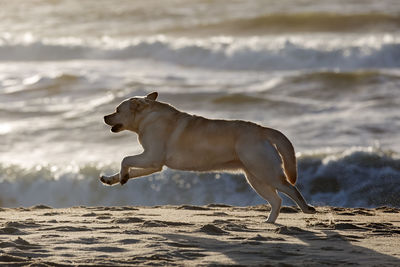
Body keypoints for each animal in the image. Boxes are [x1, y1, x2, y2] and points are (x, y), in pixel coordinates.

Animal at [100, 92, 316, 224]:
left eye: (117, 110)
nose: (104, 117)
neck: (147, 117)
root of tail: (263, 130)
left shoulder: (151, 157)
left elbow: (125, 159)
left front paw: (122, 175)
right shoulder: (154, 164)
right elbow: (130, 168)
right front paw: (113, 178)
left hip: (266, 172)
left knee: (292, 190)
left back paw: (306, 209)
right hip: (255, 178)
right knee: (277, 200)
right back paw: (269, 222)